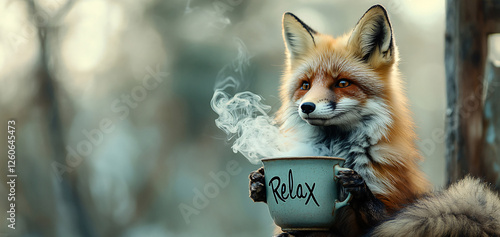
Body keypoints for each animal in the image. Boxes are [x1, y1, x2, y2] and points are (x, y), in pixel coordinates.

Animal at [250, 4, 500, 237]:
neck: (337, 149)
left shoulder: (390, 207)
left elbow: (378, 217)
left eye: (342, 83)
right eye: (305, 85)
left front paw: (359, 190)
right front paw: (259, 184)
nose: (307, 107)